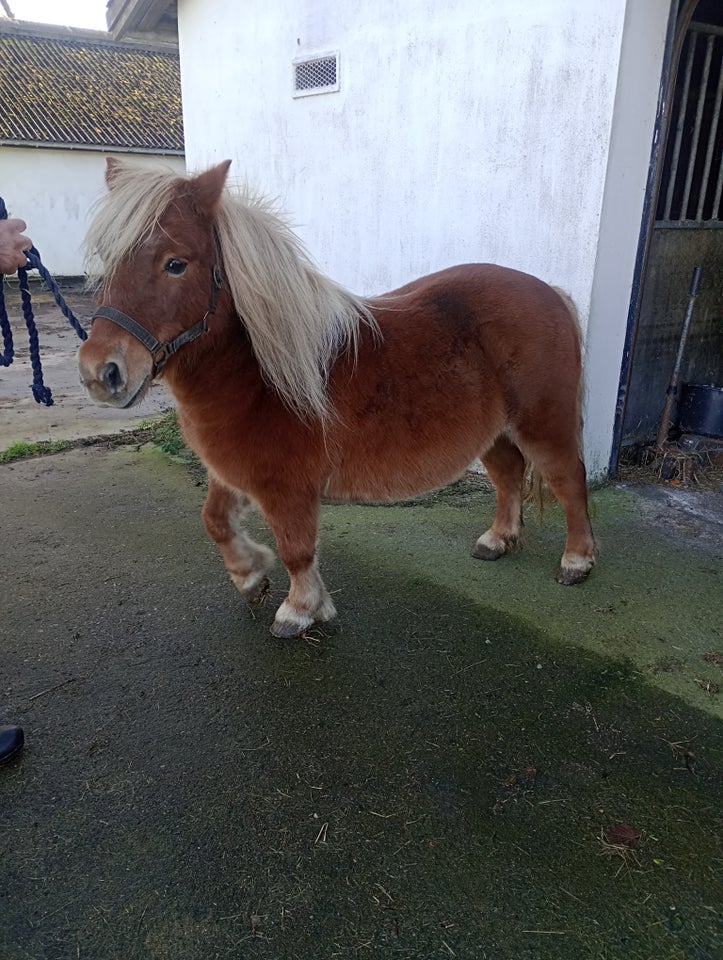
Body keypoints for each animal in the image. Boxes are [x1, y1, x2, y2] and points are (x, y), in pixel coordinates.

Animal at [79, 158, 596, 636]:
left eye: (175, 263)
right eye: (107, 258)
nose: (100, 372)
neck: (259, 377)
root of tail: (550, 291)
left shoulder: (286, 489)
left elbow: (295, 548)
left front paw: (299, 609)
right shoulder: (230, 472)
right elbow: (215, 521)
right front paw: (250, 577)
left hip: (543, 425)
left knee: (568, 479)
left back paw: (577, 560)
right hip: (493, 433)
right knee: (509, 474)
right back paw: (498, 540)